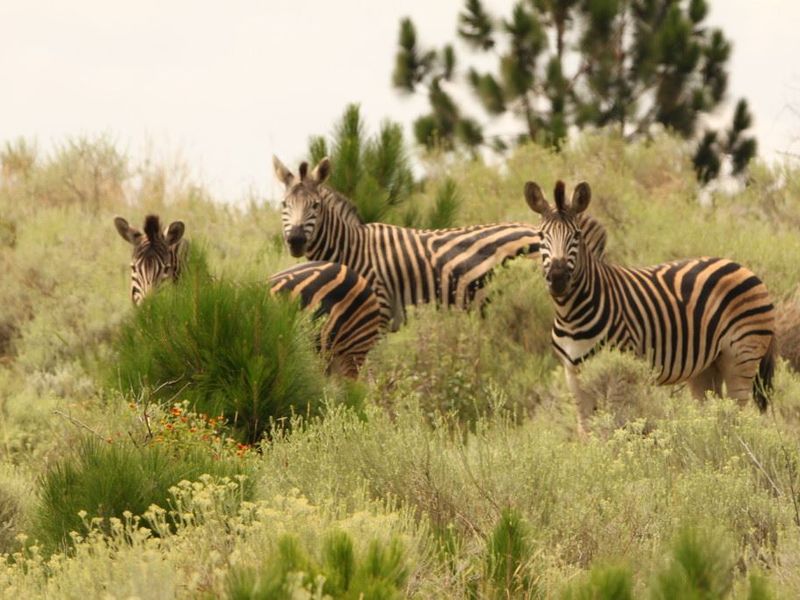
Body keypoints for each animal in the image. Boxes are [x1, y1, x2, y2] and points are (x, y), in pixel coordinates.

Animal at [274, 155, 591, 331]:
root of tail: (531, 229)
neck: (353, 249)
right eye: (283, 205)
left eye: (315, 206)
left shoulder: (380, 309)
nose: (296, 240)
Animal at [523, 179, 776, 432]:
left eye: (576, 235)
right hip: (707, 365)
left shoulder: (619, 372)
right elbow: (586, 431)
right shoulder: (573, 374)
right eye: (541, 236)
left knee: (737, 414)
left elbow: (616, 425)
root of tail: (743, 267)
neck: (571, 314)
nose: (558, 279)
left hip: (741, 356)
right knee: (713, 413)